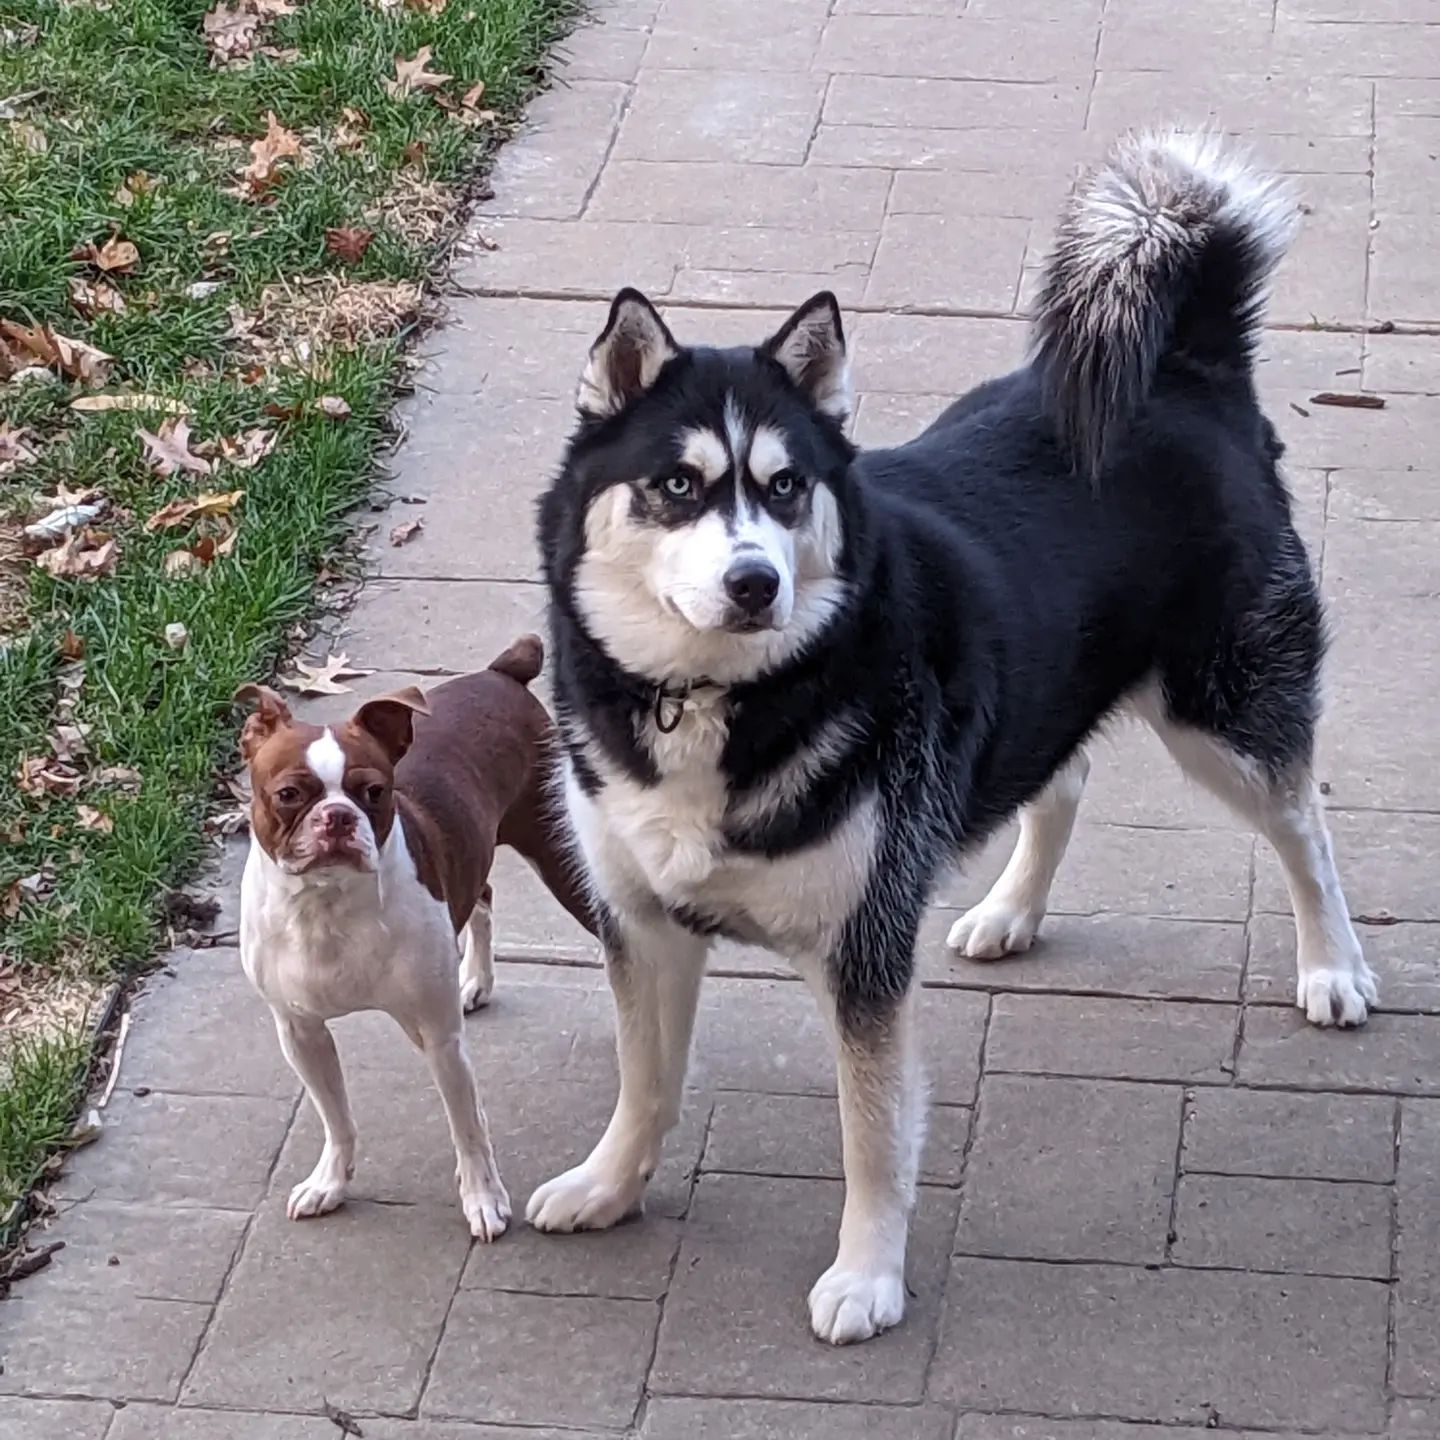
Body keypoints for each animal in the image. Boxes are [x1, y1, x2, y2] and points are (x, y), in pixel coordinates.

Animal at [234, 636, 590, 1244]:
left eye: (374, 792)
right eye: (289, 794)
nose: (337, 816)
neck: (327, 908)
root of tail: (502, 673)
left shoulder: (438, 1036)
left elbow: (466, 1126)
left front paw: (483, 1199)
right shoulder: (300, 1032)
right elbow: (336, 1116)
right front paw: (330, 1182)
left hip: (561, 856)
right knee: (484, 893)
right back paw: (476, 980)